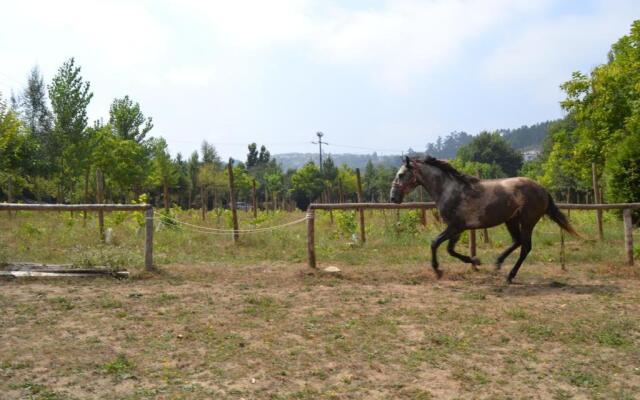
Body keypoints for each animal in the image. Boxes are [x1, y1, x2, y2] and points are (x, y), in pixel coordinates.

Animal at [390, 155, 580, 282]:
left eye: (401, 175)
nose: (393, 197)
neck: (449, 190)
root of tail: (543, 190)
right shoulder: (458, 228)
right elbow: (450, 249)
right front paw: (475, 260)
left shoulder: (455, 226)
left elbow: (435, 243)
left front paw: (438, 270)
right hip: (511, 220)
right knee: (517, 241)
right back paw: (498, 263)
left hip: (527, 221)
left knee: (525, 247)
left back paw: (510, 275)